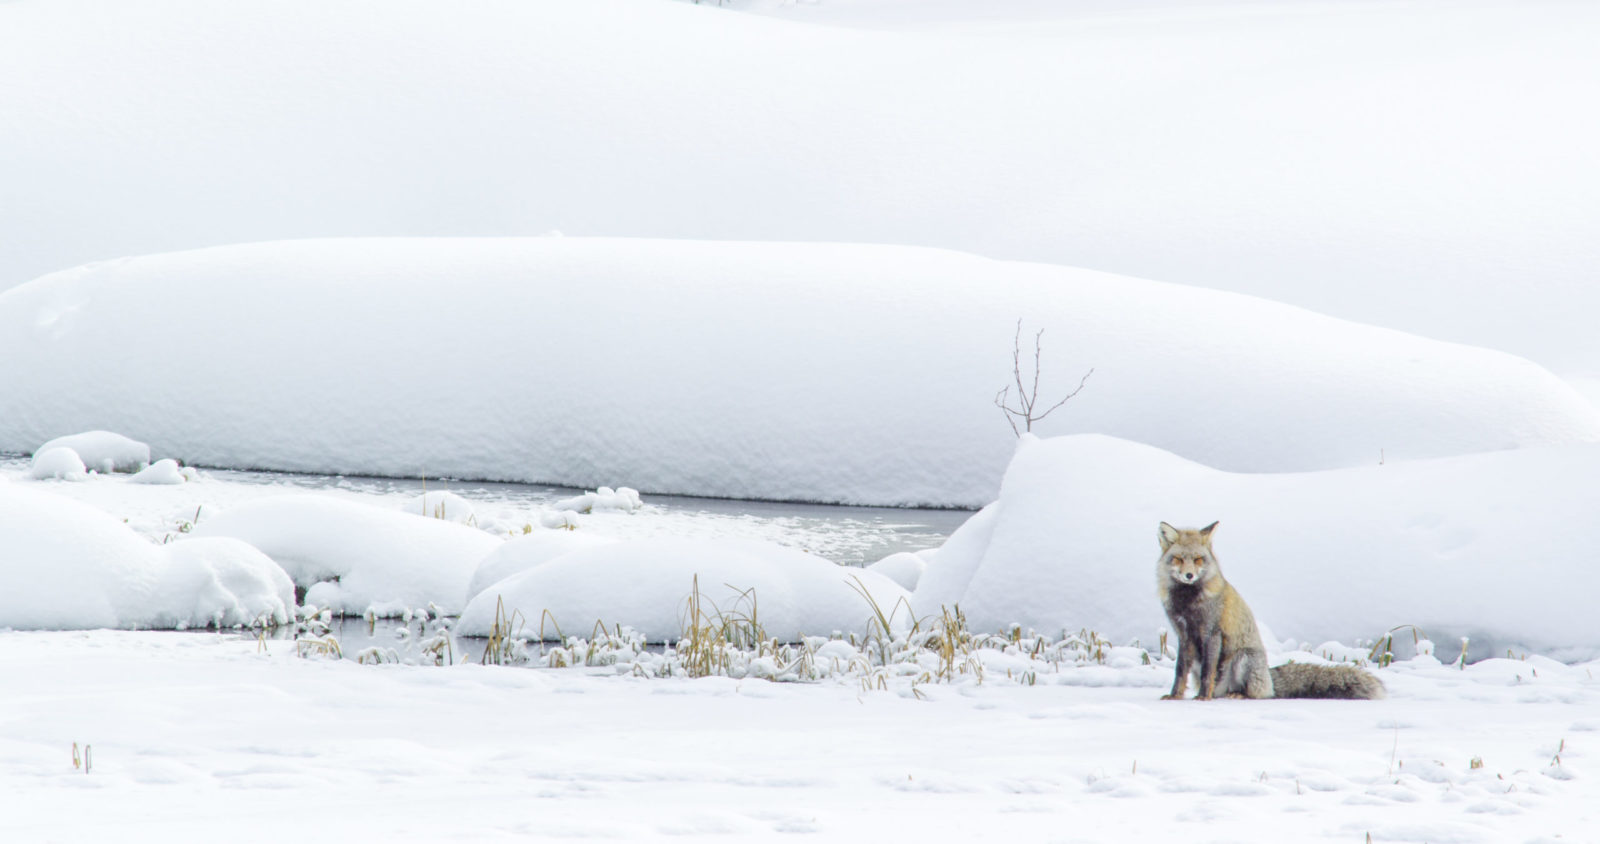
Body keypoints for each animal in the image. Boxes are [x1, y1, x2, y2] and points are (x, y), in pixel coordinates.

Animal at [1158, 521, 1382, 700]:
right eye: (1179, 559)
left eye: (1198, 559)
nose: (1189, 575)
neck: (1188, 603)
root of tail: (1269, 679)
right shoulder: (1183, 634)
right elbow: (1180, 671)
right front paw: (1175, 696)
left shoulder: (1212, 633)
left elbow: (1208, 673)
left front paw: (1203, 698)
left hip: (1243, 658)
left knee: (1254, 693)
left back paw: (1236, 694)